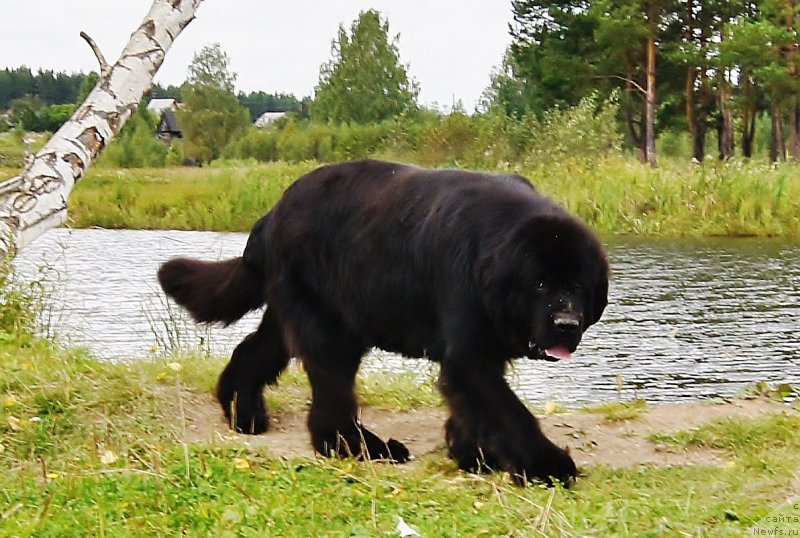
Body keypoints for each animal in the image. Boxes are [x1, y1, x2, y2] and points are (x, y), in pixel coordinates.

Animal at [155, 157, 608, 484]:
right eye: (540, 285)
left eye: (578, 286)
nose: (566, 322)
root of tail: (272, 215)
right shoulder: (470, 352)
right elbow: (508, 410)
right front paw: (546, 465)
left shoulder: (483, 349)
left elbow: (473, 405)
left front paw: (471, 453)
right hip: (329, 328)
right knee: (332, 396)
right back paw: (362, 447)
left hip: (297, 312)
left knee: (256, 351)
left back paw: (244, 414)